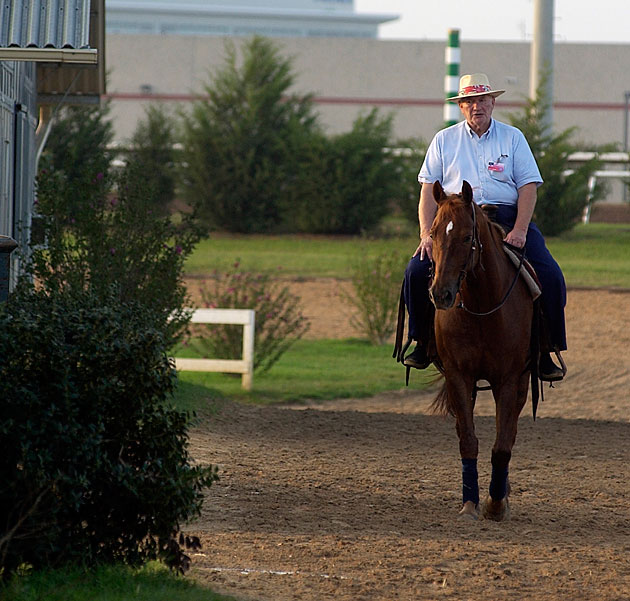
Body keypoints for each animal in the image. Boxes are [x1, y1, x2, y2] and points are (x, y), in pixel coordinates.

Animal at [430, 179, 540, 520]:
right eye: (433, 234)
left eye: (467, 237)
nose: (441, 294)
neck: (482, 308)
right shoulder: (458, 377)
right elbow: (468, 440)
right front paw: (470, 503)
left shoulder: (508, 380)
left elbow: (502, 445)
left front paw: (495, 503)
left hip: (520, 384)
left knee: (509, 434)